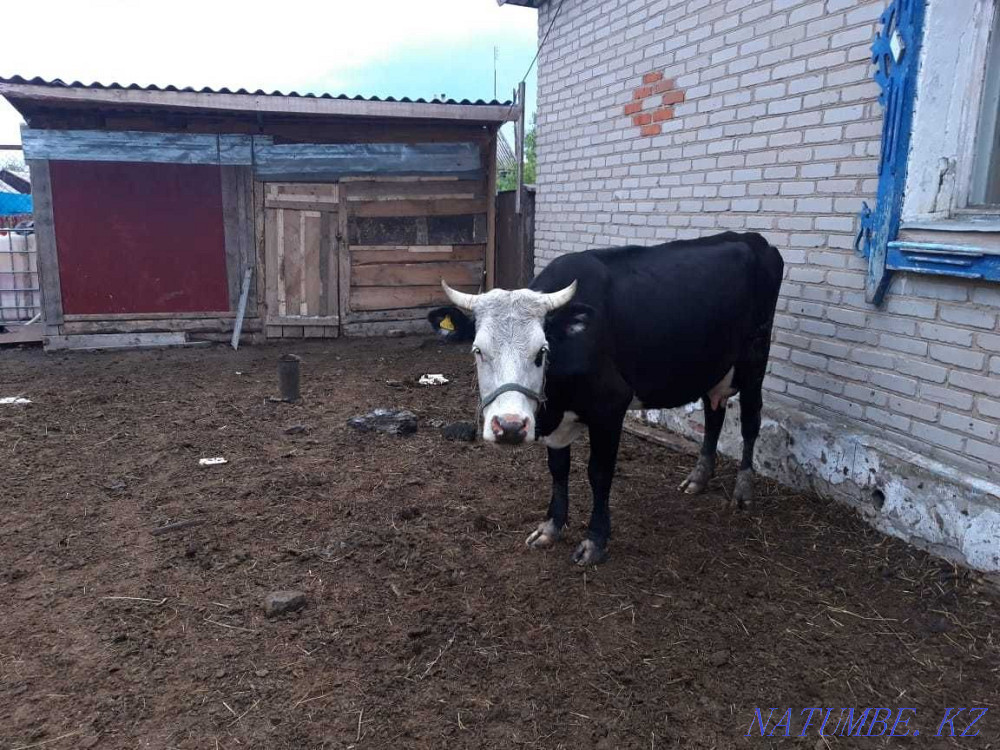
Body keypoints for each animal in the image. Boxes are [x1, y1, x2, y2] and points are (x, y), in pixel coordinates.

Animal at [428, 231, 783, 566]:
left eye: (542, 351)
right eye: (478, 351)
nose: (511, 427)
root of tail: (751, 239)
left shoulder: (610, 408)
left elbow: (599, 474)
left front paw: (595, 540)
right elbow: (558, 468)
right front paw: (551, 526)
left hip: (754, 362)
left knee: (750, 422)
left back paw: (743, 490)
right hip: (714, 367)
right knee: (714, 413)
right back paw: (698, 477)